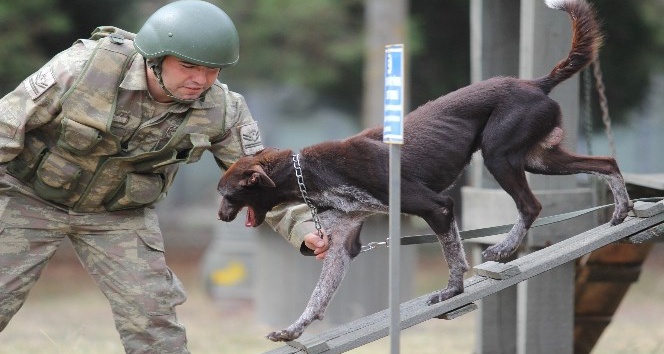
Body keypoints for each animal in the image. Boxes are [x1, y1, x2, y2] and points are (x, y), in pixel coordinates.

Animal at [217, 0, 632, 342]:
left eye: (227, 193)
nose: (221, 216)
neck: (311, 173)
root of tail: (534, 83)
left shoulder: (437, 205)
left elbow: (454, 257)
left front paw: (453, 292)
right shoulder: (343, 245)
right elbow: (316, 298)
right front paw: (293, 330)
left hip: (500, 156)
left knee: (531, 205)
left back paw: (506, 246)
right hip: (537, 159)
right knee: (607, 164)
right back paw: (621, 210)